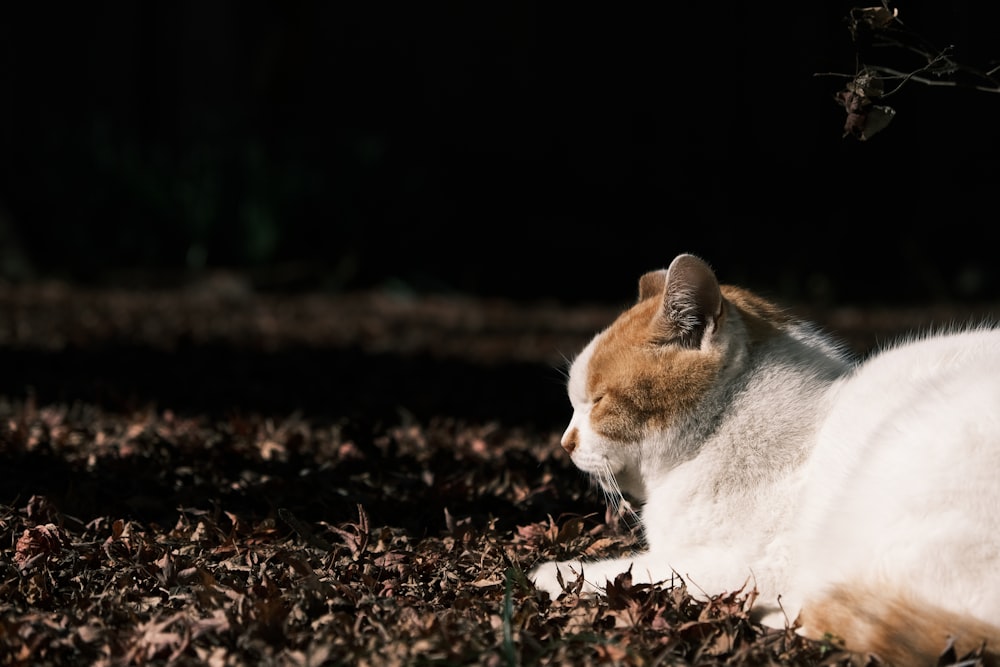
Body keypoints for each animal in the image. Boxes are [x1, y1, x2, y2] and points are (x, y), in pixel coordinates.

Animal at [532, 253, 1000, 664]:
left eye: (597, 401)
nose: (565, 443)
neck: (724, 425)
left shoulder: (751, 564)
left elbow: (636, 571)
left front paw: (555, 573)